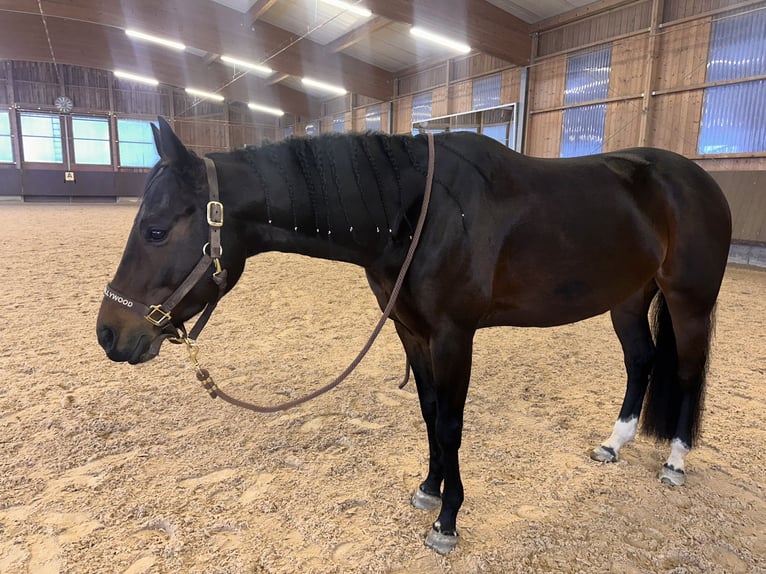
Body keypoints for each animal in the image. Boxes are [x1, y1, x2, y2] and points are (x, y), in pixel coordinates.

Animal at [97, 116, 732, 553]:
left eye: (155, 230)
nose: (109, 334)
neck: (414, 213)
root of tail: (699, 181)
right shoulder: (411, 331)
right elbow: (428, 413)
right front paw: (428, 488)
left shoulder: (454, 336)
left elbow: (450, 424)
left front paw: (447, 521)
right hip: (628, 299)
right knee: (642, 362)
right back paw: (615, 443)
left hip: (689, 301)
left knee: (685, 370)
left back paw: (676, 461)